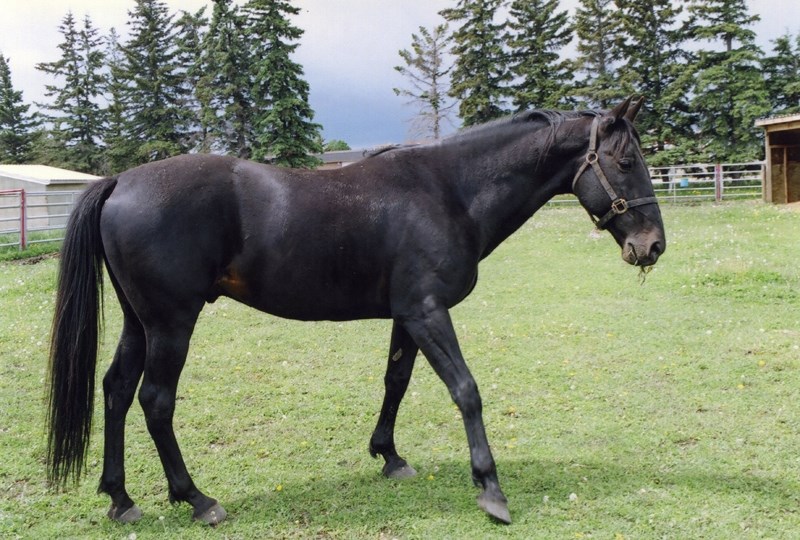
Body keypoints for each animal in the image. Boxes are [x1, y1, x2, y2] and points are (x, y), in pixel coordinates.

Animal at [47, 96, 664, 524]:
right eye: (625, 161)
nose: (653, 245)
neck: (448, 190)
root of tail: (119, 181)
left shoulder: (407, 315)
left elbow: (395, 382)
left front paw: (388, 456)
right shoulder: (427, 313)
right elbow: (465, 390)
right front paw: (490, 488)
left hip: (140, 323)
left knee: (116, 391)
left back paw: (121, 498)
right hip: (172, 324)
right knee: (155, 401)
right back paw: (196, 498)